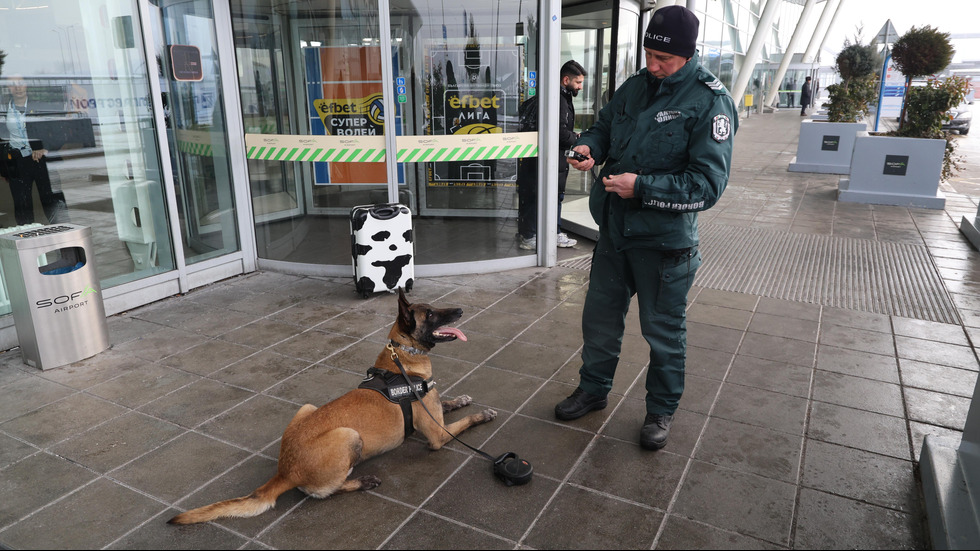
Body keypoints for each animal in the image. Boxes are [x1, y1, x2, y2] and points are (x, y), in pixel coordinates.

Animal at [166, 288, 498, 528]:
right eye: (430, 314)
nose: (460, 310)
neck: (402, 357)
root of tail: (285, 471)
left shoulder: (434, 407)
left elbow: (447, 401)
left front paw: (461, 399)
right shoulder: (437, 434)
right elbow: (462, 423)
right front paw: (483, 414)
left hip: (307, 407)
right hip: (349, 435)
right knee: (323, 491)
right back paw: (361, 481)